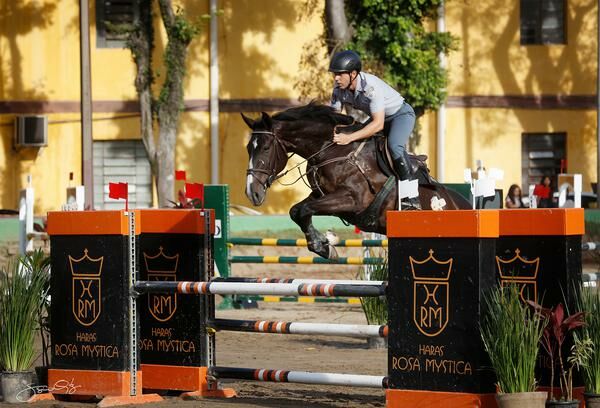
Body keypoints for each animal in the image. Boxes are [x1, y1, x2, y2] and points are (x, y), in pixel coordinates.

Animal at [241, 103, 472, 260]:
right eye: (248, 148)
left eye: (265, 148)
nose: (252, 193)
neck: (330, 149)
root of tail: (463, 204)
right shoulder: (320, 195)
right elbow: (296, 210)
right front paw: (324, 245)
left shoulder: (352, 200)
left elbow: (304, 210)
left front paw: (325, 243)